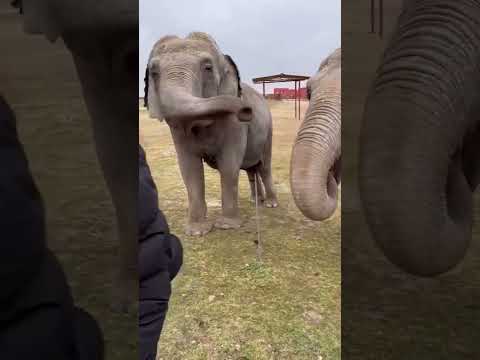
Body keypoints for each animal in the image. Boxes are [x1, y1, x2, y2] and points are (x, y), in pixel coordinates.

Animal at [146, 32, 280, 238]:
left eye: (207, 68)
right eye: (153, 73)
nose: (246, 111)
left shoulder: (234, 125)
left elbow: (229, 164)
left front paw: (227, 226)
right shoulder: (177, 129)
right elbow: (189, 167)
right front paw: (196, 232)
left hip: (268, 132)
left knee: (264, 166)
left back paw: (271, 204)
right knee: (251, 169)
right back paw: (255, 201)